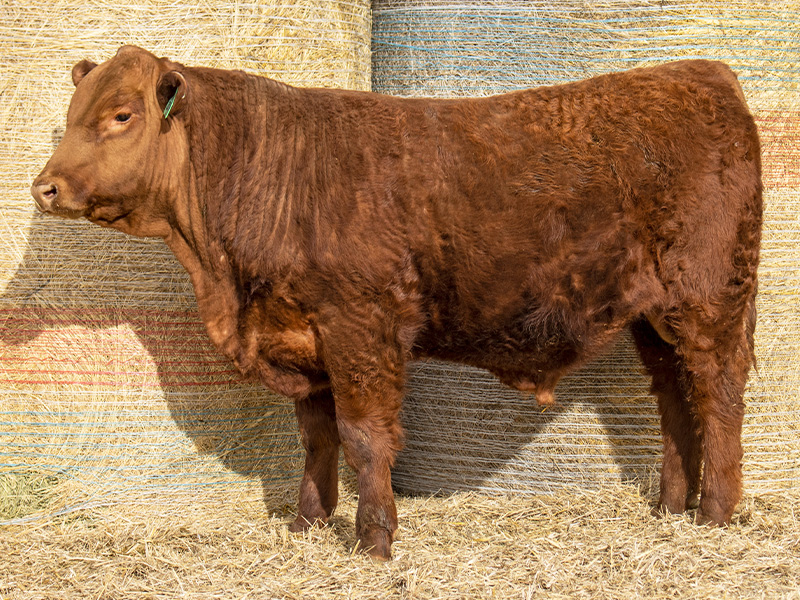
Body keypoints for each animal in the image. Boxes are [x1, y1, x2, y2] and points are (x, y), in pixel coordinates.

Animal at [31, 46, 762, 560]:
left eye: (121, 116)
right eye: (70, 117)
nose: (45, 186)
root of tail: (704, 74)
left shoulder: (361, 330)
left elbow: (364, 438)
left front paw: (375, 540)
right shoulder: (304, 343)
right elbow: (317, 439)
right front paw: (307, 525)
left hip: (708, 299)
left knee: (718, 395)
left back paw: (717, 514)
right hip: (655, 318)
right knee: (675, 400)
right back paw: (672, 509)